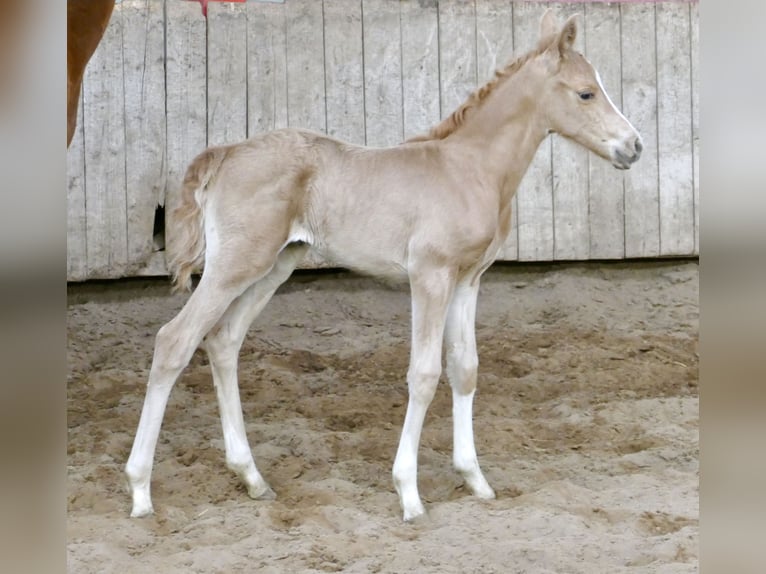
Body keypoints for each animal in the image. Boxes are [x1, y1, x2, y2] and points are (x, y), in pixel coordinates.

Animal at [125, 10, 642, 522]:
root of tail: (226, 153)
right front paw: (409, 494)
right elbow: (424, 373)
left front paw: (475, 480)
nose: (634, 146)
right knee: (174, 341)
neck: (470, 170)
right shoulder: (430, 276)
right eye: (586, 92)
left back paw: (251, 477)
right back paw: (140, 490)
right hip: (236, 264)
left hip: (273, 265)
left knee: (223, 340)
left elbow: (465, 367)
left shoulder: (468, 280)